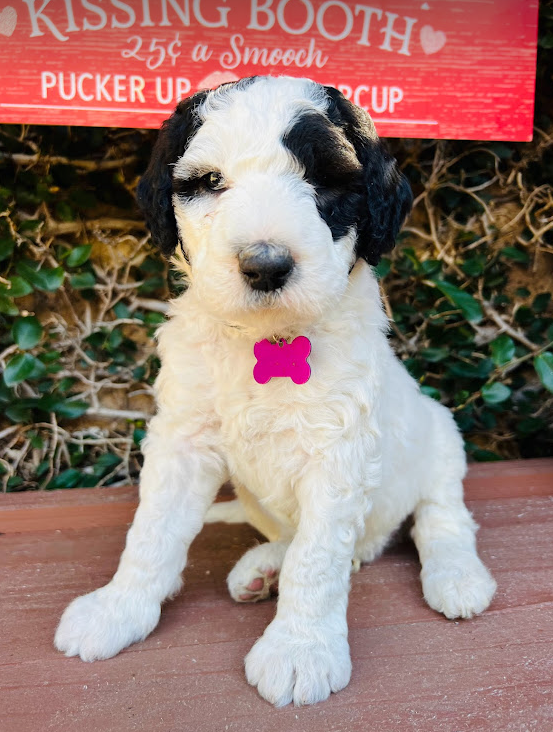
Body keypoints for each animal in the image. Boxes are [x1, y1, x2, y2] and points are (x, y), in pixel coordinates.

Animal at [55, 77, 496, 708]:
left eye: (325, 181)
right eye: (208, 182)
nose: (265, 264)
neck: (268, 337)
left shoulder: (339, 451)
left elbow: (317, 559)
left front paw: (300, 650)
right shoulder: (183, 438)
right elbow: (153, 531)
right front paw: (118, 609)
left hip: (439, 433)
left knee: (440, 514)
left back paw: (457, 576)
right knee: (319, 541)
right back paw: (263, 568)